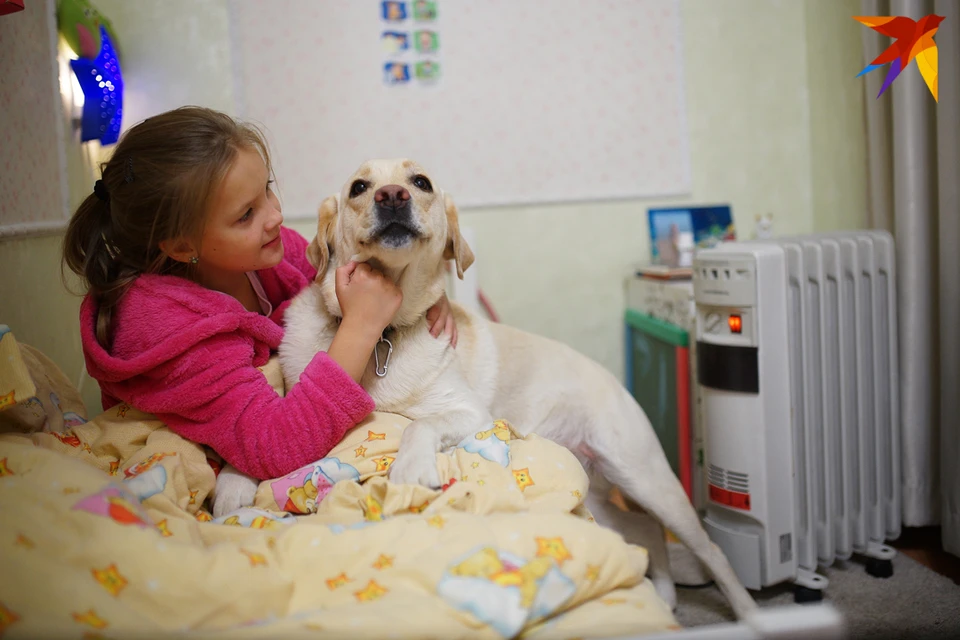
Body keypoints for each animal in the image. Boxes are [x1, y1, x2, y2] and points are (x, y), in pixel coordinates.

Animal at [218, 160, 756, 620]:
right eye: (359, 187)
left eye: (420, 182)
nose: (392, 196)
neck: (382, 334)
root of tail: (610, 376)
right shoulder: (294, 403)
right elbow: (259, 438)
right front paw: (231, 485)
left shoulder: (468, 414)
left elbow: (419, 427)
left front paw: (410, 468)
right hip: (600, 493)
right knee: (646, 531)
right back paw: (664, 593)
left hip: (643, 475)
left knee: (707, 548)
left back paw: (750, 614)